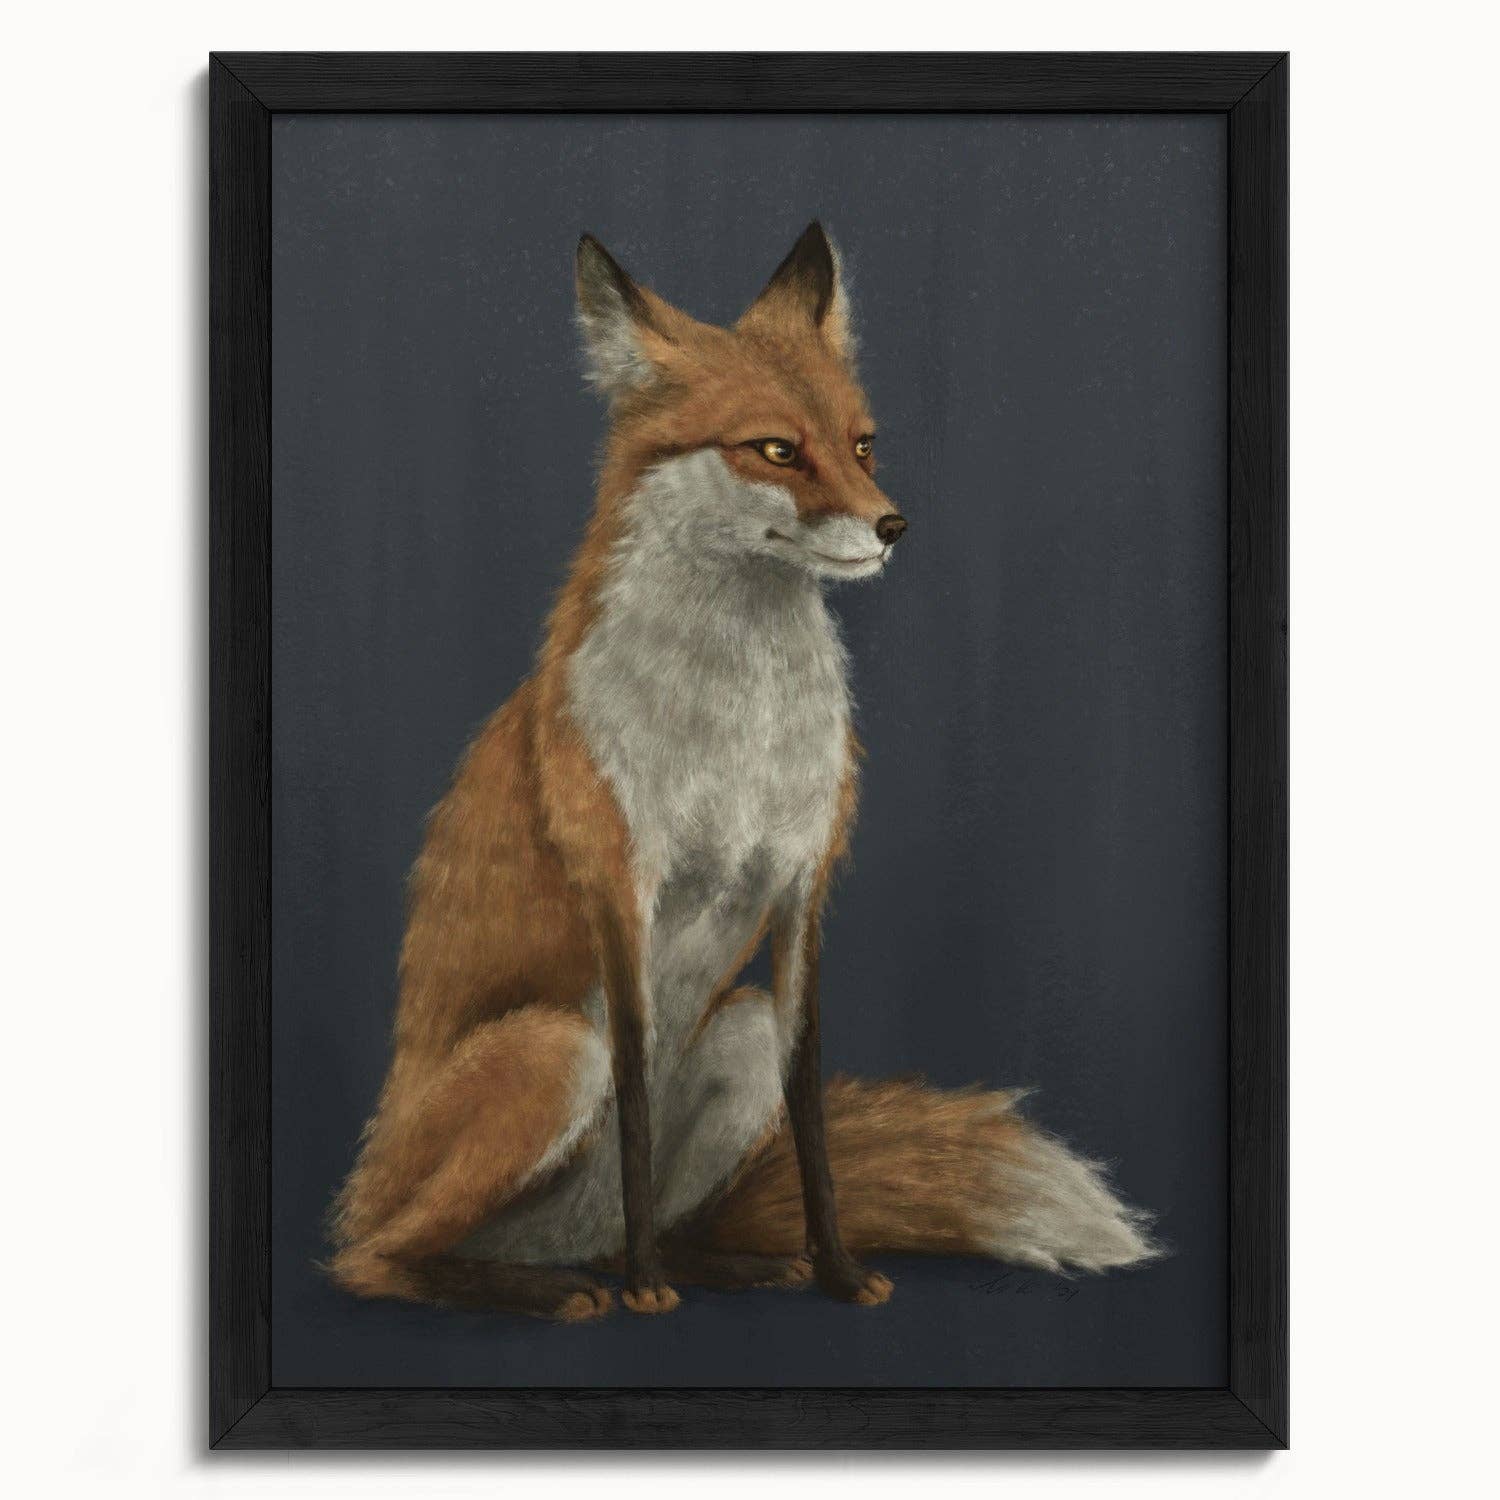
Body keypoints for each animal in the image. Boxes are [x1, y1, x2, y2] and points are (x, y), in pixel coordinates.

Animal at [327, 222, 1158, 1322]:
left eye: (862, 444)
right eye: (775, 449)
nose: (893, 526)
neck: (740, 730)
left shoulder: (803, 887)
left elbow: (810, 1113)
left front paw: (837, 1270)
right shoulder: (621, 889)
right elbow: (636, 1099)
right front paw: (646, 1292)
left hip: (738, 1032)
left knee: (646, 1216)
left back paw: (721, 1263)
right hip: (551, 1051)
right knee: (375, 1259)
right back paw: (559, 1287)